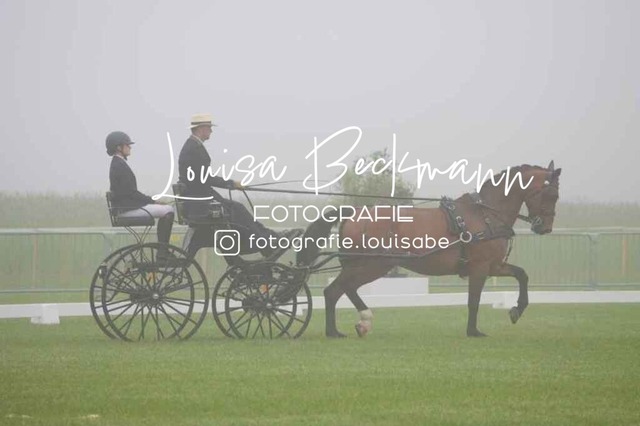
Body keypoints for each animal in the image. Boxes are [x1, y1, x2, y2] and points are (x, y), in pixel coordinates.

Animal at [297, 161, 562, 337]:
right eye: (551, 193)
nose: (545, 227)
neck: (485, 214)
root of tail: (356, 212)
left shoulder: (494, 266)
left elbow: (522, 275)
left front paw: (517, 310)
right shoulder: (480, 267)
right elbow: (474, 300)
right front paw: (473, 330)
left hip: (365, 265)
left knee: (344, 289)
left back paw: (361, 323)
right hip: (373, 264)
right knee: (335, 290)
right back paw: (335, 331)